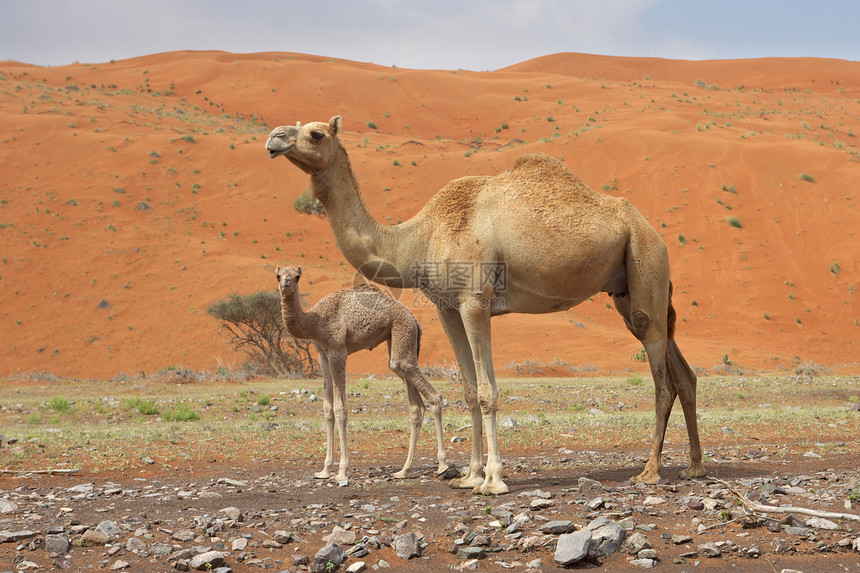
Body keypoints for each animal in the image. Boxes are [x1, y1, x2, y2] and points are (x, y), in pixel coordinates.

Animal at [278, 264, 450, 482]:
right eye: (279, 275)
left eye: (297, 277)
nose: (286, 282)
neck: (314, 321)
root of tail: (414, 319)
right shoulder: (322, 354)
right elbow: (327, 409)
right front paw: (324, 470)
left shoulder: (337, 351)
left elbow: (340, 409)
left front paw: (342, 471)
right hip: (397, 341)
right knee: (415, 404)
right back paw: (403, 470)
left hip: (402, 331)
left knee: (433, 396)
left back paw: (442, 465)